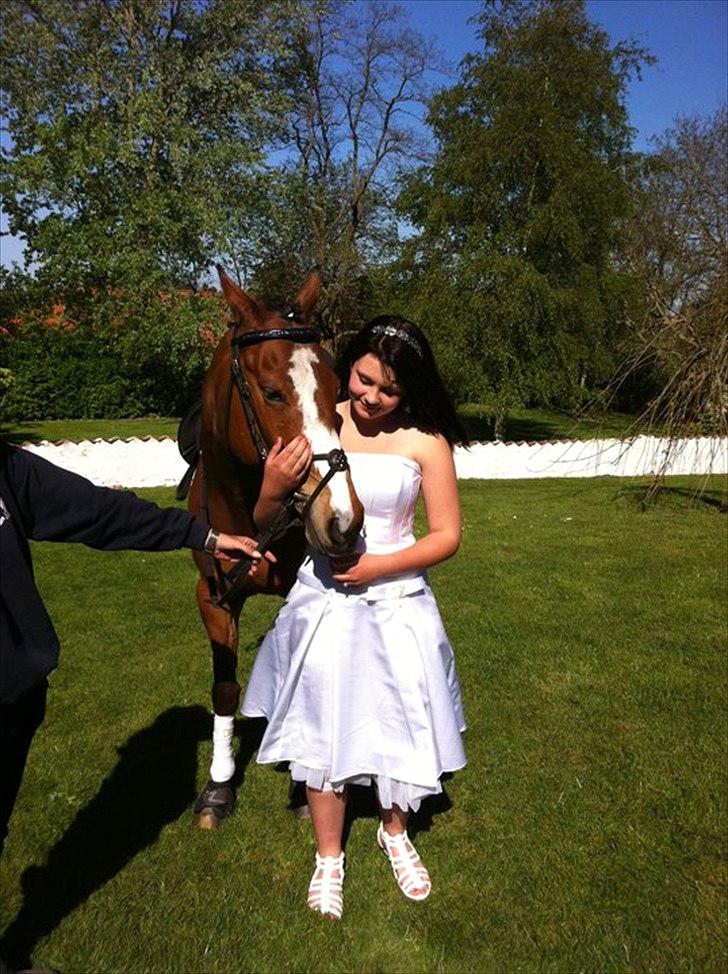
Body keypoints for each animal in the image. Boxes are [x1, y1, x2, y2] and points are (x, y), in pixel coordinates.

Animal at [188, 268, 364, 832]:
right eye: (271, 392)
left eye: (336, 392)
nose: (342, 518)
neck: (251, 510)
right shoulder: (212, 598)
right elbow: (224, 688)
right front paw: (219, 786)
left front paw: (303, 781)